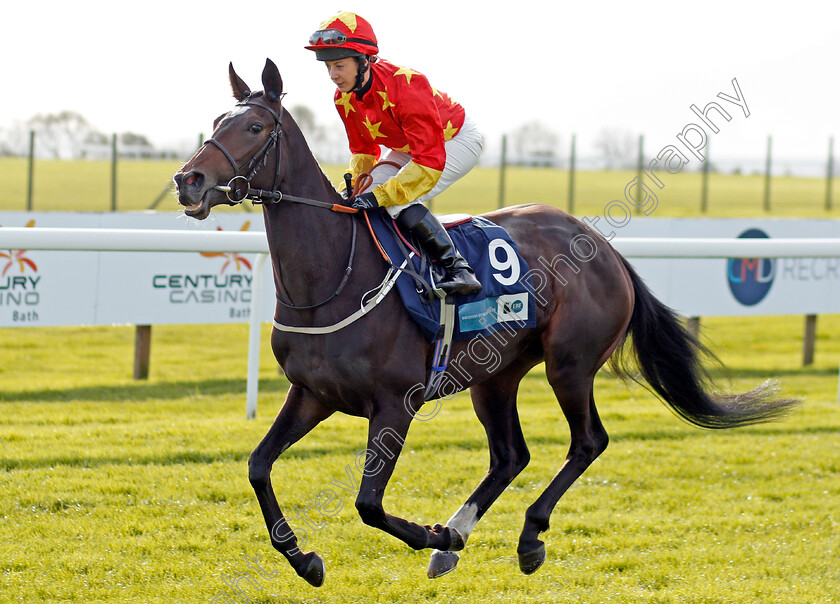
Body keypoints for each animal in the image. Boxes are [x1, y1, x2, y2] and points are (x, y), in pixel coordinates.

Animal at [174, 60, 796, 584]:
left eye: (255, 127)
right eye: (218, 120)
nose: (189, 181)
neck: (333, 276)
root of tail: (605, 249)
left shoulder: (394, 403)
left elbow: (368, 503)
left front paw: (429, 534)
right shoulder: (311, 393)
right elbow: (258, 466)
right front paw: (304, 558)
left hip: (570, 364)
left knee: (587, 441)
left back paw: (525, 537)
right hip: (495, 375)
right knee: (510, 455)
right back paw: (457, 537)